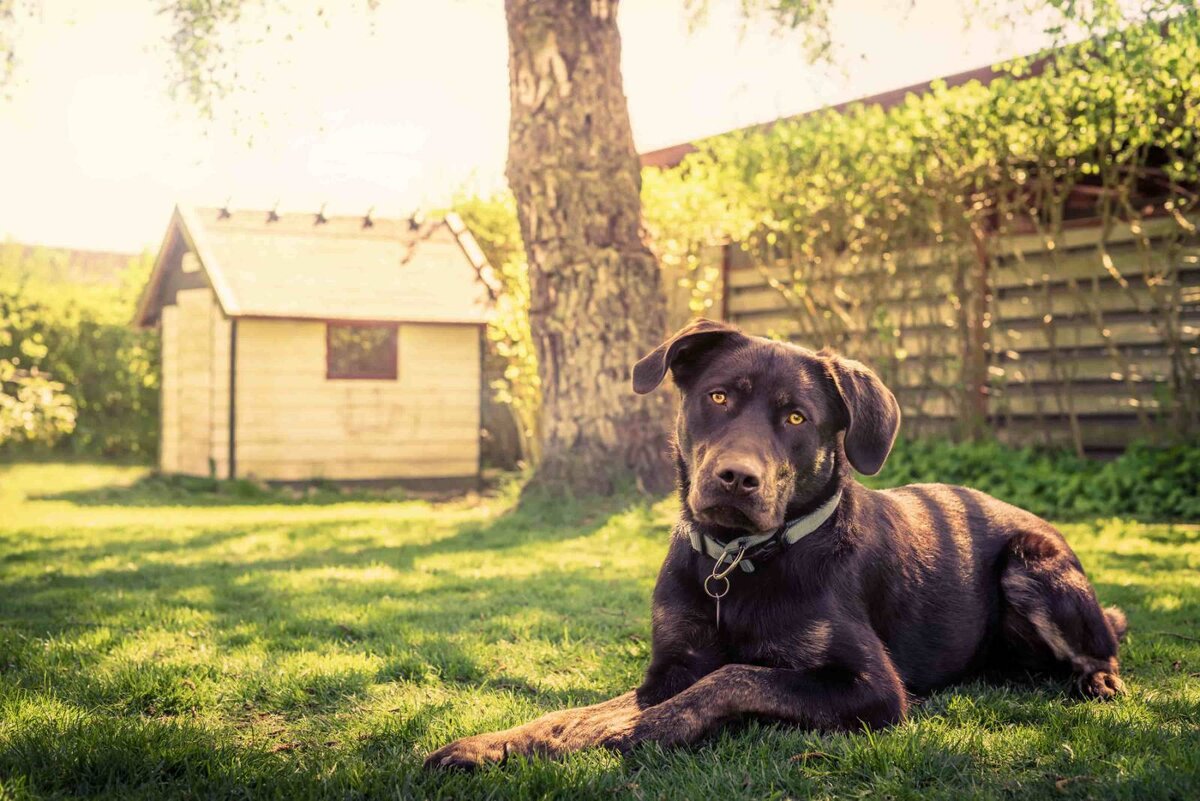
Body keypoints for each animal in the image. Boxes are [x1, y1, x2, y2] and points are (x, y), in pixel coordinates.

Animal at [427, 314, 1128, 767]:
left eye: (796, 416)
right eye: (717, 397)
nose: (737, 478)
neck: (741, 562)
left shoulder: (872, 688)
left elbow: (737, 675)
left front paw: (649, 728)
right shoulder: (667, 666)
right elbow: (574, 713)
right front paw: (487, 745)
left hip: (1033, 564)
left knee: (1105, 649)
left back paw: (1097, 681)